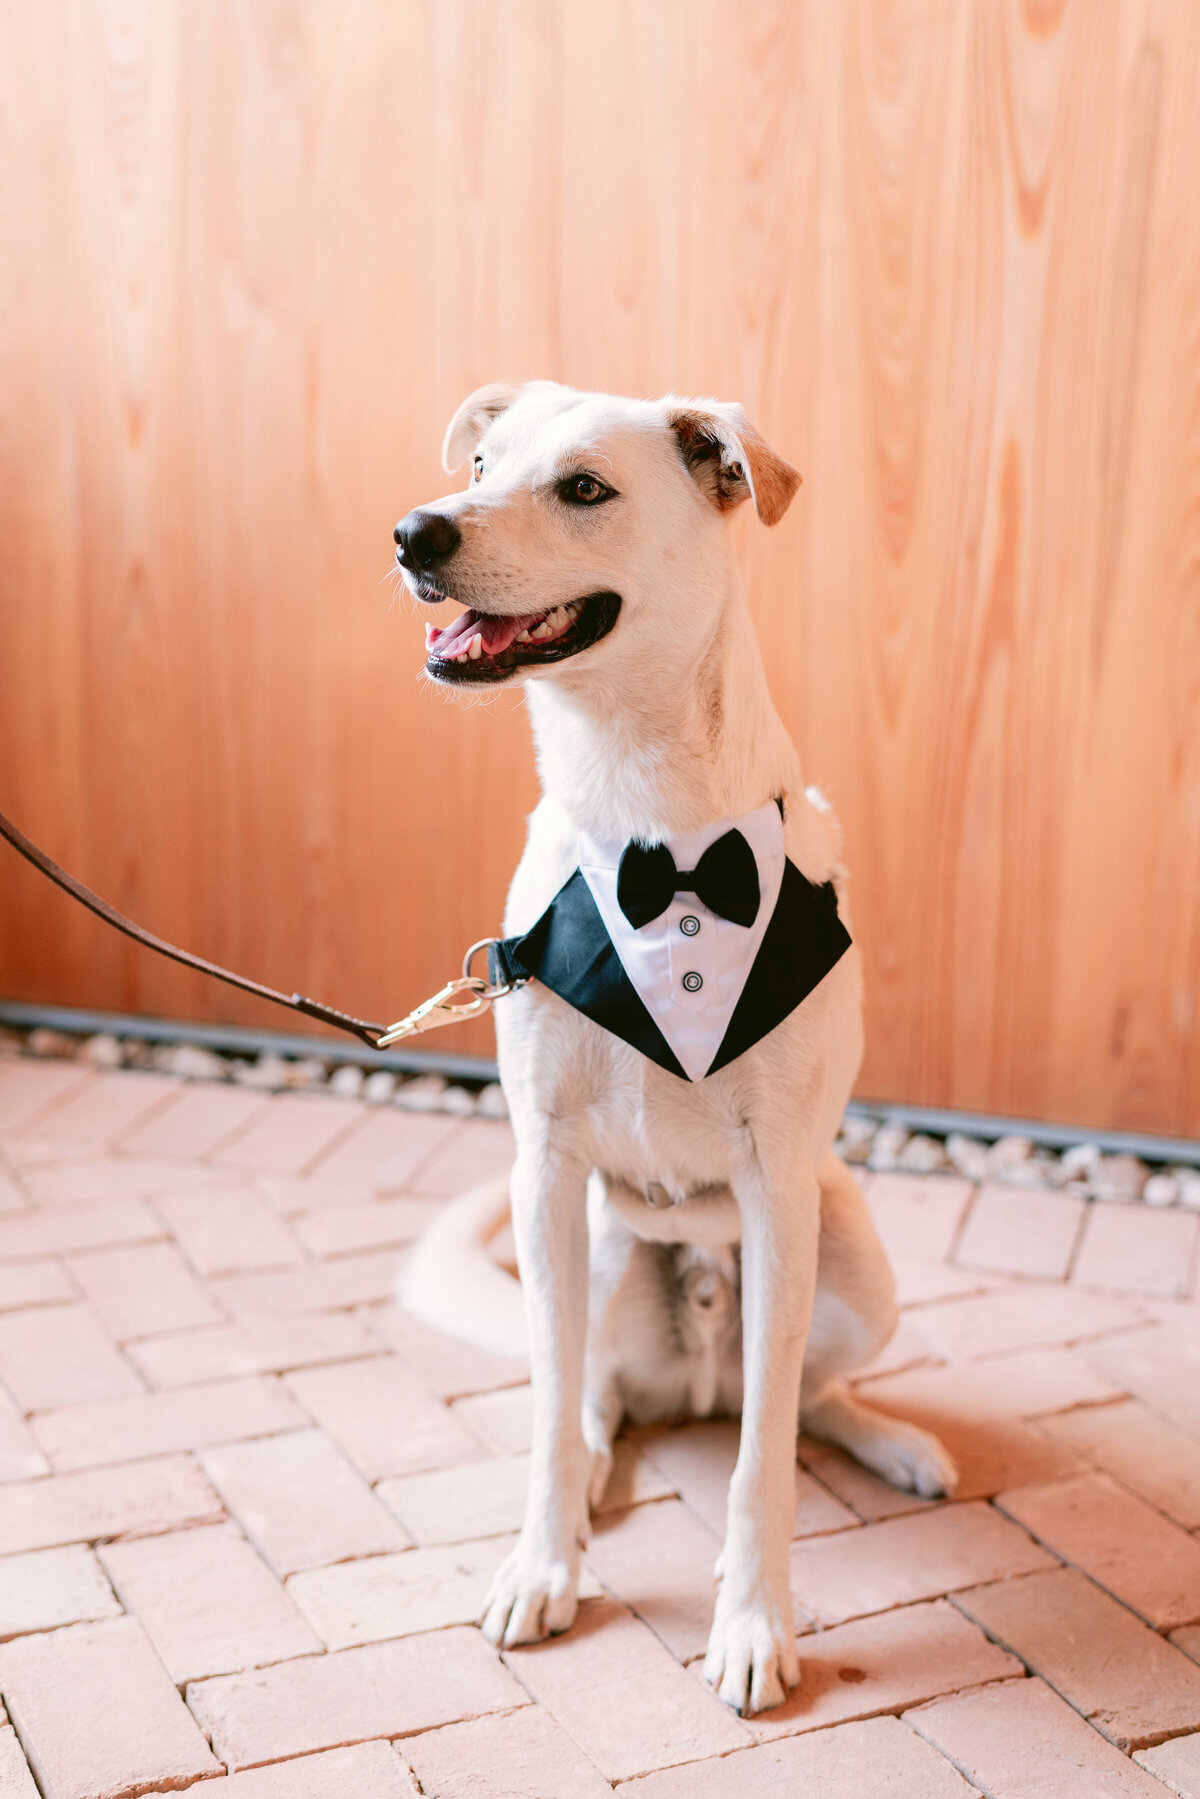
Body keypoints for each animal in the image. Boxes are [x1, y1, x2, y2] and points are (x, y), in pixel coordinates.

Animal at [394, 379, 957, 1712]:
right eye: (482, 464)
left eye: (583, 488)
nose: (414, 533)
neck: (651, 818)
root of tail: (694, 1371)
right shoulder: (544, 1167)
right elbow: (550, 1415)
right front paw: (543, 1562)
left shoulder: (778, 1184)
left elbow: (762, 1466)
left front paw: (753, 1621)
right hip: (595, 1261)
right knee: (594, 1402)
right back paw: (587, 1498)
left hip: (848, 1252)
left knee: (799, 1398)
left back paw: (894, 1440)